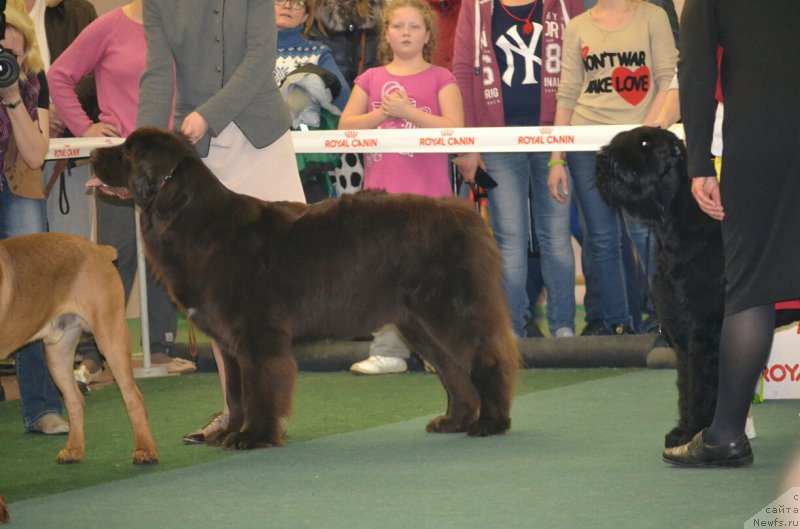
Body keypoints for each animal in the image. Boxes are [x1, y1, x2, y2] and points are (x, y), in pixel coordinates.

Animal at [0, 233, 158, 464]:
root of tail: (99, 249)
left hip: (111, 336)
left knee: (133, 397)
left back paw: (145, 450)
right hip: (58, 353)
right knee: (75, 401)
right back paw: (74, 449)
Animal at [92, 128, 520, 450]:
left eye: (127, 152)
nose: (93, 152)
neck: (193, 221)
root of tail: (468, 216)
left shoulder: (257, 334)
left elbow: (260, 387)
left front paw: (253, 436)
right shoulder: (229, 342)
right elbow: (236, 392)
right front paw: (231, 432)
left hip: (446, 312)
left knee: (485, 360)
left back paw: (491, 422)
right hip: (418, 324)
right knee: (453, 371)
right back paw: (453, 421)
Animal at [592, 127, 724, 446]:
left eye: (645, 143)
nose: (603, 161)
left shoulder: (703, 333)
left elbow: (703, 387)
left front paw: (695, 431)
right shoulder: (683, 335)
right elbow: (687, 387)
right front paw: (683, 430)